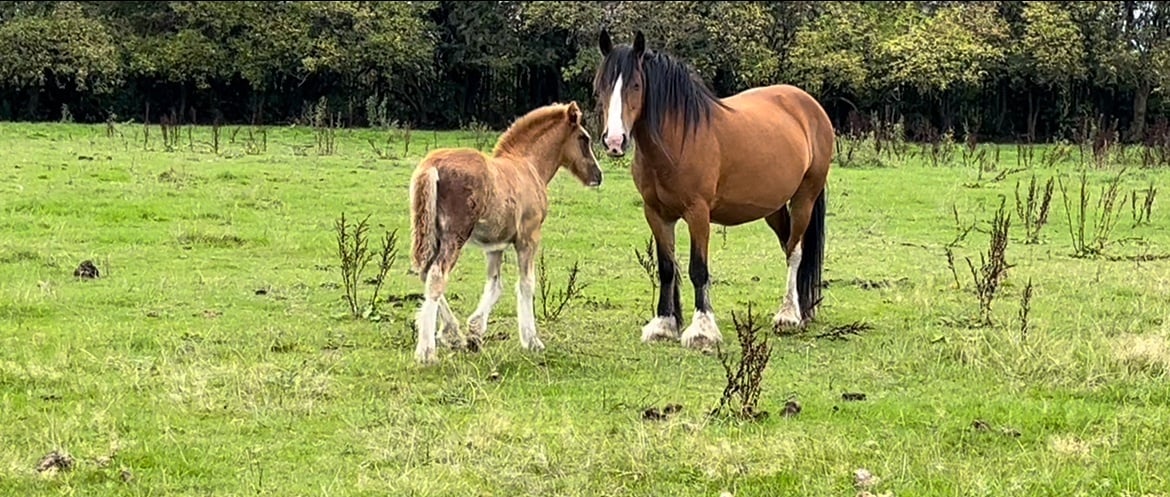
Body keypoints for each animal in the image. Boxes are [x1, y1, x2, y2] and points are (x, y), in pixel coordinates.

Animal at [408, 101, 603, 365]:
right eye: (584, 138)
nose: (597, 176)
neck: (528, 165)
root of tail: (432, 166)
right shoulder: (528, 237)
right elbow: (527, 284)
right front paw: (532, 340)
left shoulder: (495, 245)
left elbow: (495, 284)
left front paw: (475, 332)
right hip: (454, 236)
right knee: (437, 276)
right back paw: (426, 351)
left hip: (432, 235)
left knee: (426, 272)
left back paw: (453, 335)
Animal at [592, 29, 834, 350]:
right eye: (601, 86)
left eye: (635, 85)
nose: (614, 141)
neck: (678, 139)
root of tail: (810, 106)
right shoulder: (655, 213)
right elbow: (666, 268)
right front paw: (663, 325)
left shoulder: (698, 213)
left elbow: (698, 269)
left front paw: (702, 330)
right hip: (773, 208)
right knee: (789, 246)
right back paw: (802, 310)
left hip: (804, 198)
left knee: (796, 251)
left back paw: (788, 316)